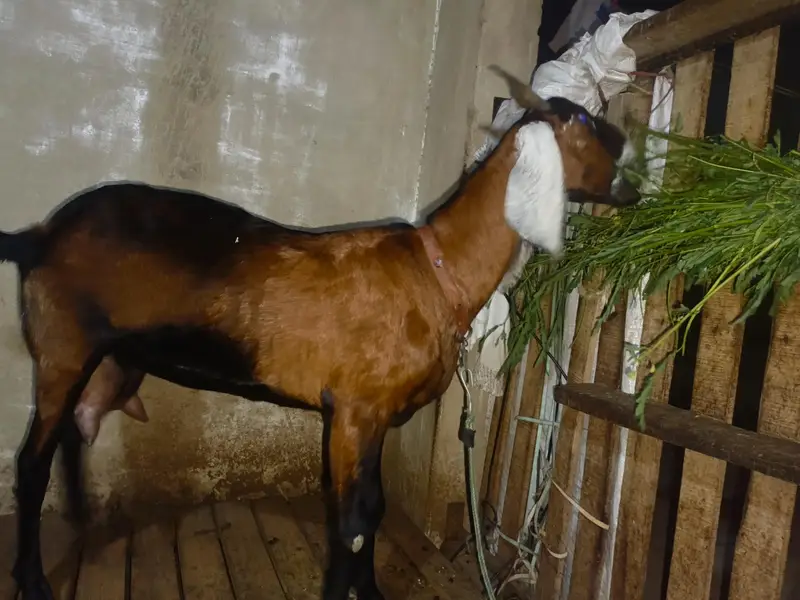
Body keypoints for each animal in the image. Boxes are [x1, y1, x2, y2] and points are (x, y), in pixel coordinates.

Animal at [3, 66, 641, 600]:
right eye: (585, 123)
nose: (633, 184)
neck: (437, 273)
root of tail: (41, 235)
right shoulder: (355, 410)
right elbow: (351, 522)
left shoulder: (373, 416)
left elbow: (371, 511)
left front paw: (369, 592)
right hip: (61, 348)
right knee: (31, 465)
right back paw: (33, 580)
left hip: (108, 358)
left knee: (70, 437)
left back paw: (83, 523)